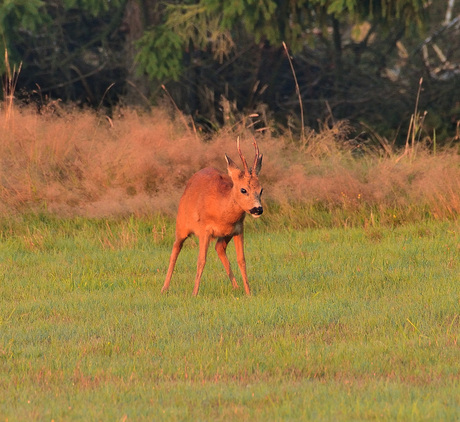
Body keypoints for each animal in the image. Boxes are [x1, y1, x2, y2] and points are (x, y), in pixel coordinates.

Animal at [161, 138, 262, 296]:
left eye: (261, 190)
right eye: (243, 189)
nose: (258, 209)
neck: (222, 211)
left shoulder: (238, 229)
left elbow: (242, 260)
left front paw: (249, 293)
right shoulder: (205, 230)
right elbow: (201, 260)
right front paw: (194, 293)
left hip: (225, 235)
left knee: (219, 247)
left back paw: (236, 287)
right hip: (181, 225)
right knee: (176, 248)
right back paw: (164, 288)